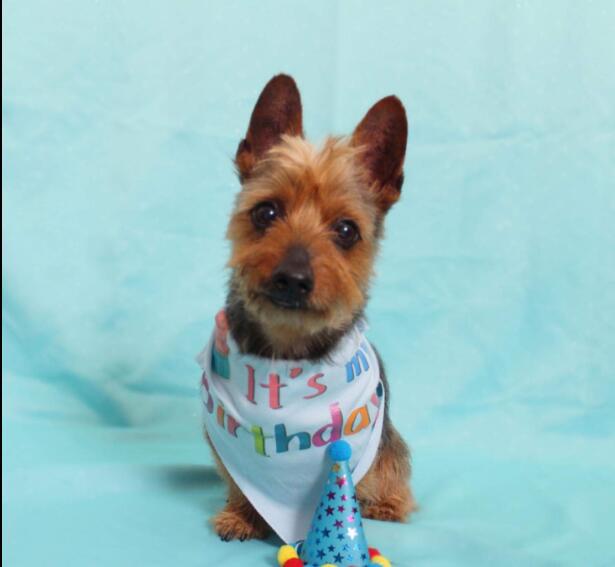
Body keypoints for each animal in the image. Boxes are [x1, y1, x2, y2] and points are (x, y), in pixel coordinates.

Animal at [205, 74, 416, 540]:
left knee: (394, 466)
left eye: (346, 230)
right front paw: (242, 515)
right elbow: (237, 479)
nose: (293, 278)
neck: (288, 349)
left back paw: (389, 503)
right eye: (266, 211)